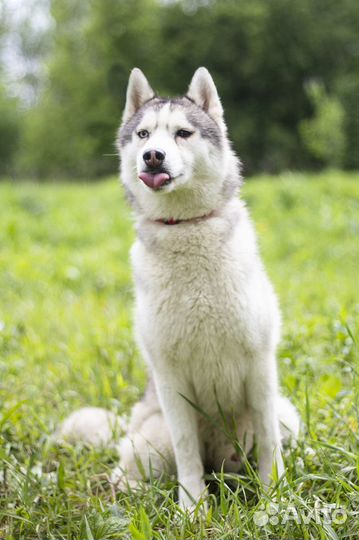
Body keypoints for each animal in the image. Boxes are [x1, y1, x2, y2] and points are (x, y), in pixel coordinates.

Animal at [59, 67, 300, 510]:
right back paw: (135, 491)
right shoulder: (171, 379)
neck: (186, 229)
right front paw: (193, 508)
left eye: (183, 133)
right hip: (151, 437)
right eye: (143, 135)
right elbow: (188, 455)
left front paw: (273, 499)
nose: (152, 155)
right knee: (126, 472)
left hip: (285, 414)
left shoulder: (260, 368)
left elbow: (270, 447)